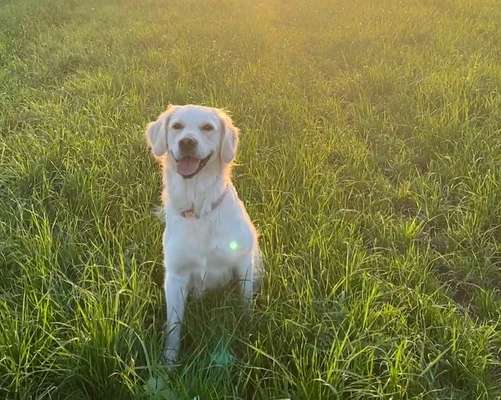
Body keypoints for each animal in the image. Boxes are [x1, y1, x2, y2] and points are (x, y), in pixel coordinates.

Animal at [145, 104, 262, 366]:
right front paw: (168, 363)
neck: (199, 206)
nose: (187, 142)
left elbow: (245, 303)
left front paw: (248, 328)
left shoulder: (243, 261)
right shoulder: (175, 277)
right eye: (177, 126)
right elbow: (174, 326)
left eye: (208, 127)